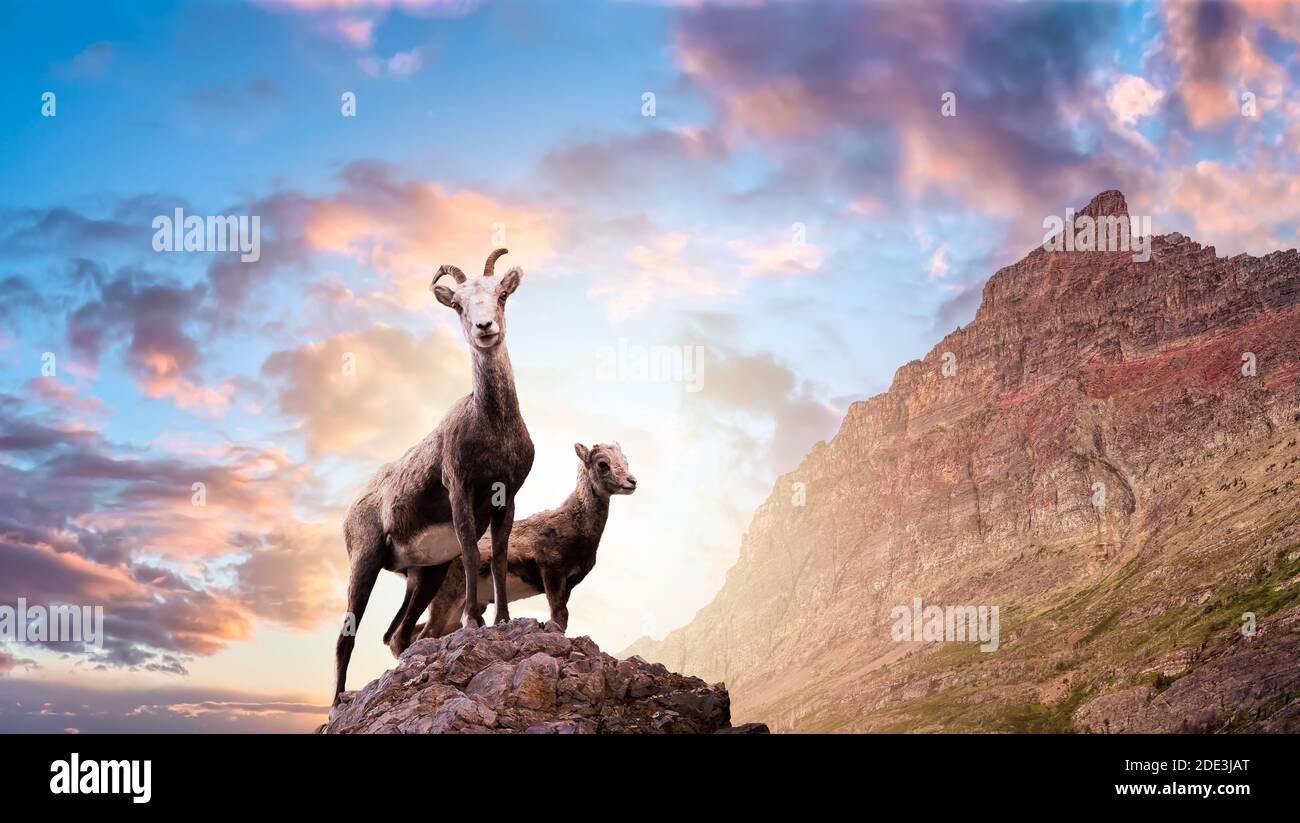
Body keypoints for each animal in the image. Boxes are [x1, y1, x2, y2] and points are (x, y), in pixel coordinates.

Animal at [333, 248, 535, 702]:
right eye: (458, 304)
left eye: (501, 294)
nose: (484, 328)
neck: (490, 424)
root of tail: (351, 510)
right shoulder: (460, 490)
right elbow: (471, 548)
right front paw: (475, 621)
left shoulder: (507, 497)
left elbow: (497, 555)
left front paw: (502, 620)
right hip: (365, 562)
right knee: (346, 635)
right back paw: (337, 702)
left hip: (425, 574)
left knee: (395, 636)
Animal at [386, 442, 636, 647]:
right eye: (602, 464)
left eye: (625, 460)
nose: (631, 482)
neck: (576, 526)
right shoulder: (552, 573)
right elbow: (558, 617)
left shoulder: (569, 583)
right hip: (443, 599)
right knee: (412, 636)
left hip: (454, 609)